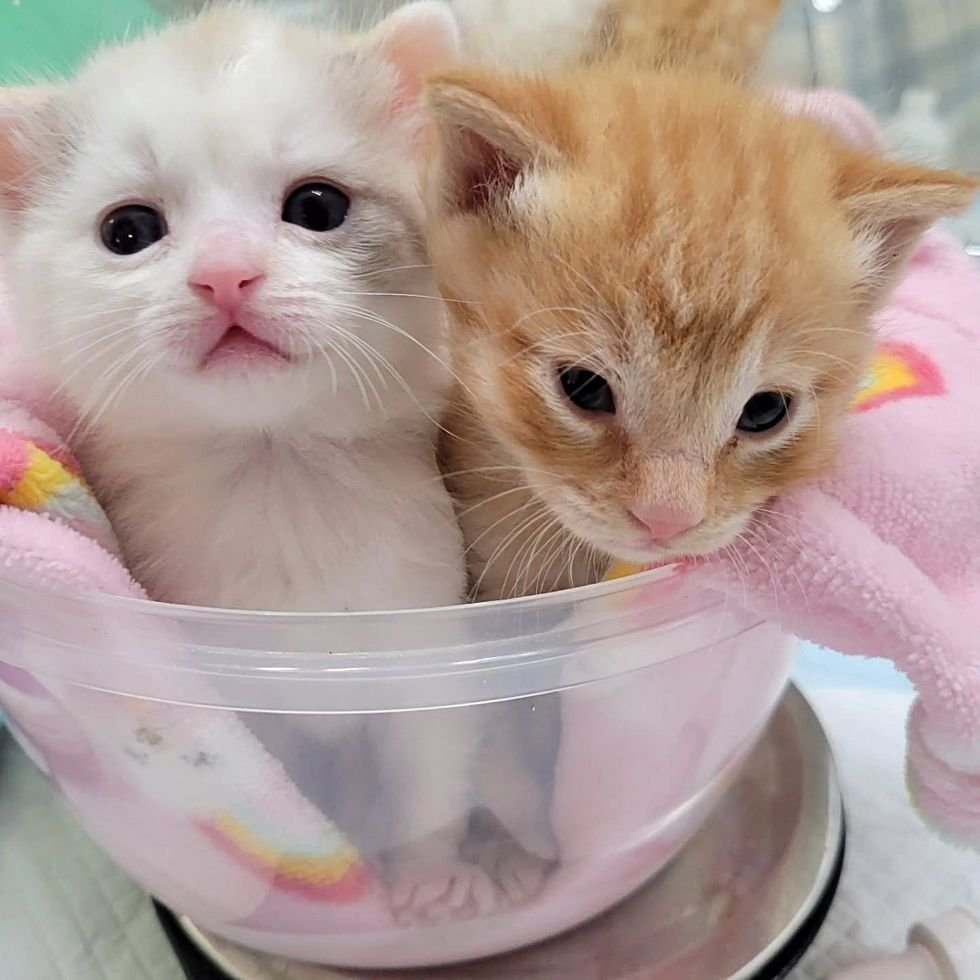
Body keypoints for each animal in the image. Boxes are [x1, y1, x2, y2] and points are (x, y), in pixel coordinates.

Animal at [0, 0, 494, 924]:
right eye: (128, 230)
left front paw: (427, 879)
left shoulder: (425, 633)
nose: (226, 275)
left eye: (318, 204)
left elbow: (430, 765)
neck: (276, 487)